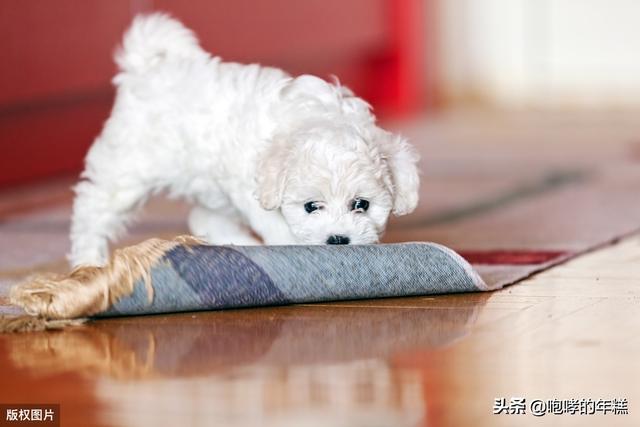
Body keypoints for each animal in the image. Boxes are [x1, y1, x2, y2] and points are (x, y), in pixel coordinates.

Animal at [70, 12, 420, 268]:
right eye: (311, 207)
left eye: (361, 204)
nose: (338, 239)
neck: (316, 118)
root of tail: (145, 69)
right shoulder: (252, 192)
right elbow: (278, 227)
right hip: (127, 165)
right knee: (93, 209)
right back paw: (88, 261)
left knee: (204, 216)